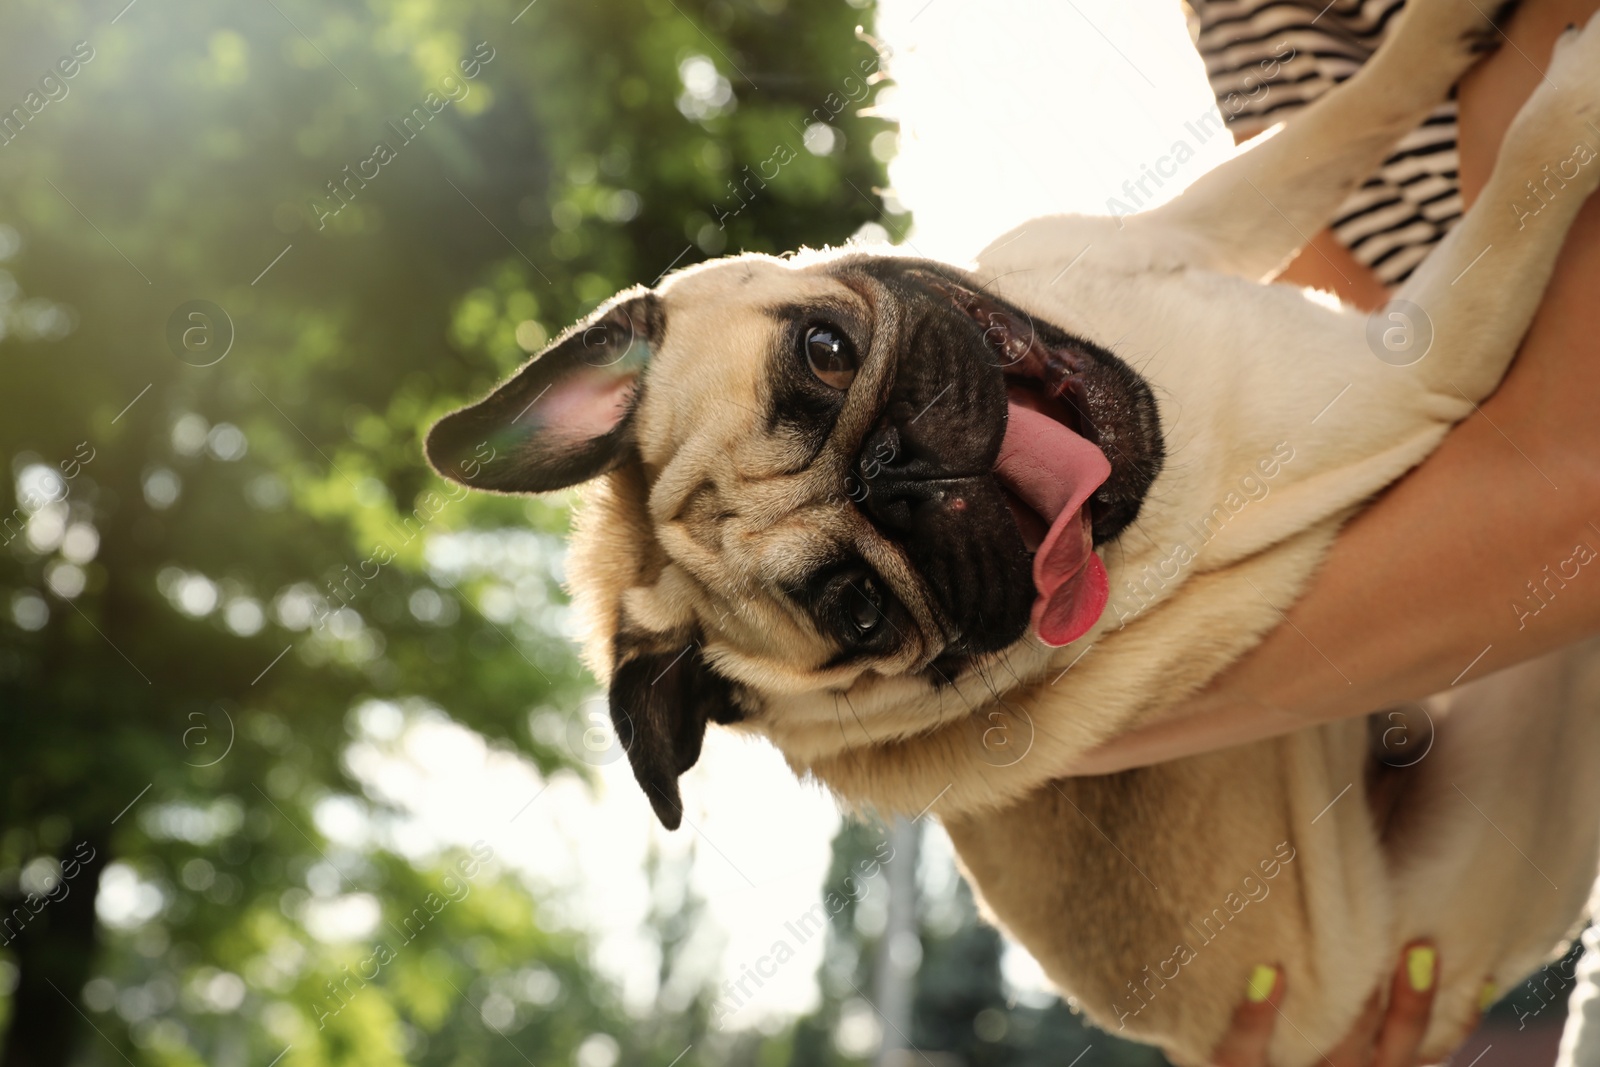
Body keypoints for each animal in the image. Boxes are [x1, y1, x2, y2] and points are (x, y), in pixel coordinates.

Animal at [428, 4, 1600, 1062]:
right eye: (859, 609)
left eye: (824, 350)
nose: (895, 472)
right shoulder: (1412, 360)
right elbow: (1519, 189)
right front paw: (1575, 94)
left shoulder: (1187, 229)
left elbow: (1343, 123)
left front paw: (1433, 34)